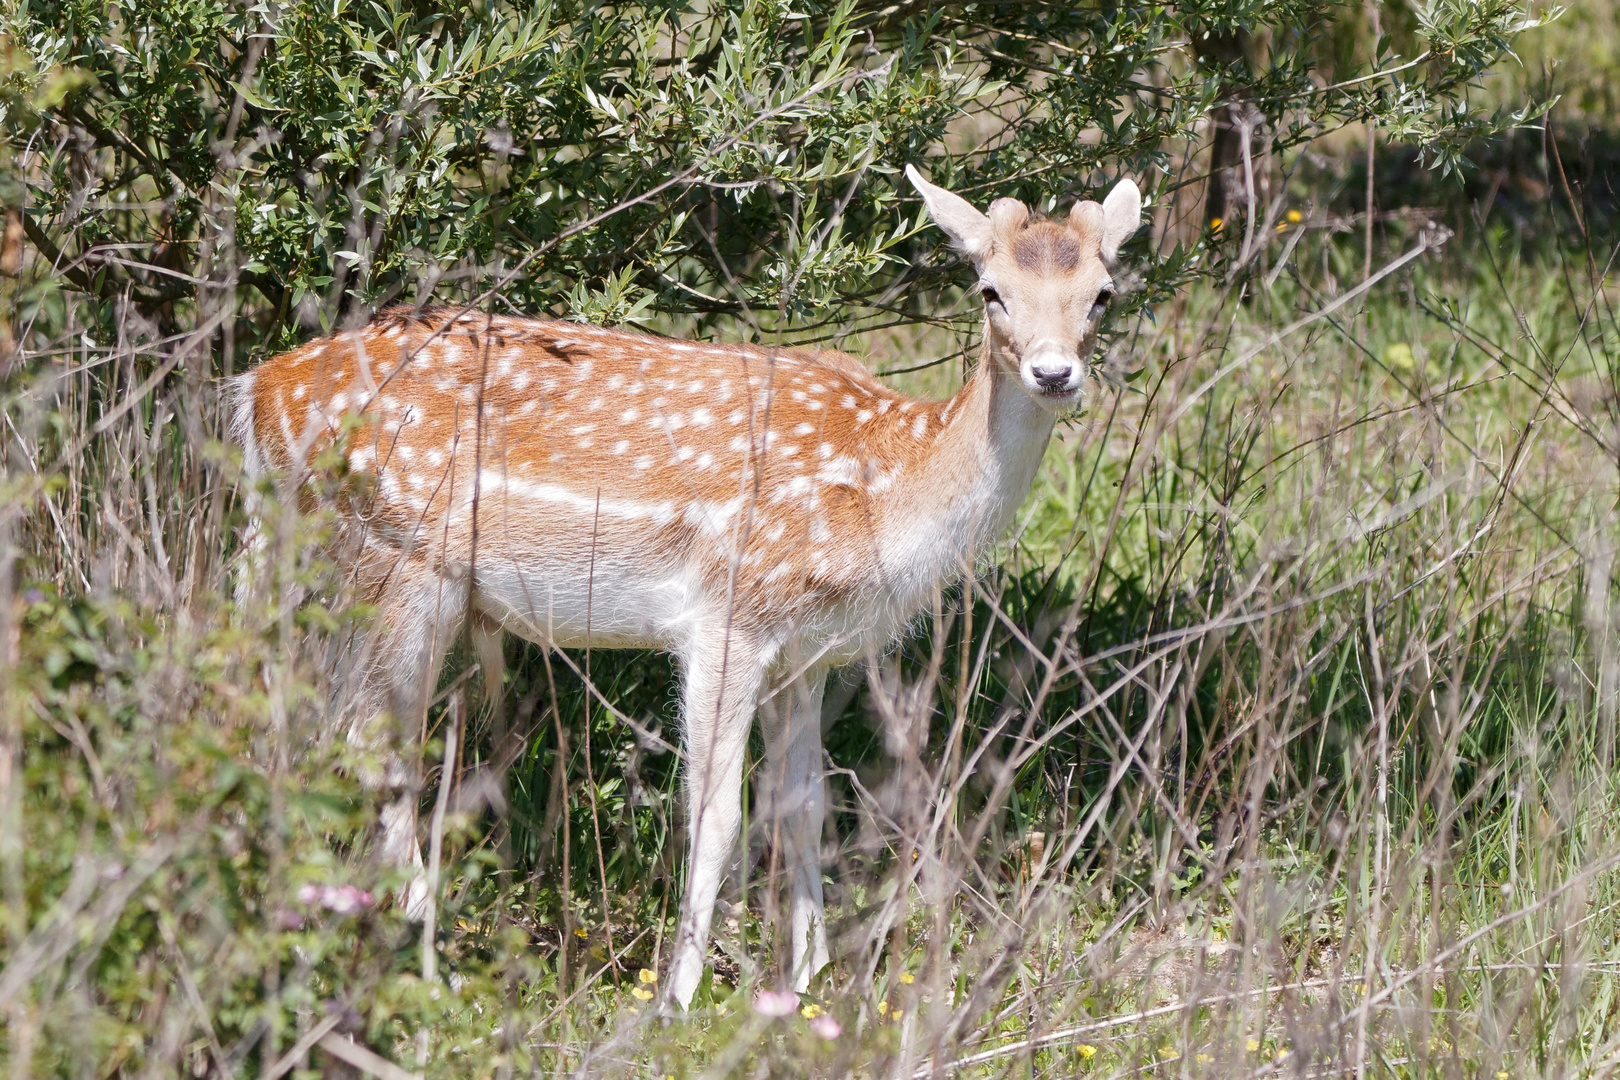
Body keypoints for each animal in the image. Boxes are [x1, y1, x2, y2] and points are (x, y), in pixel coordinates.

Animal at [231, 165, 1140, 1010]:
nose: (1055, 373)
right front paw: (679, 996)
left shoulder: (807, 653)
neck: (884, 486)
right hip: (392, 563)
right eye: (991, 290)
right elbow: (716, 813)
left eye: (1102, 294)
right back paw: (428, 957)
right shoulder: (729, 615)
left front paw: (805, 984)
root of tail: (255, 395)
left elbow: (803, 804)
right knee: (364, 743)